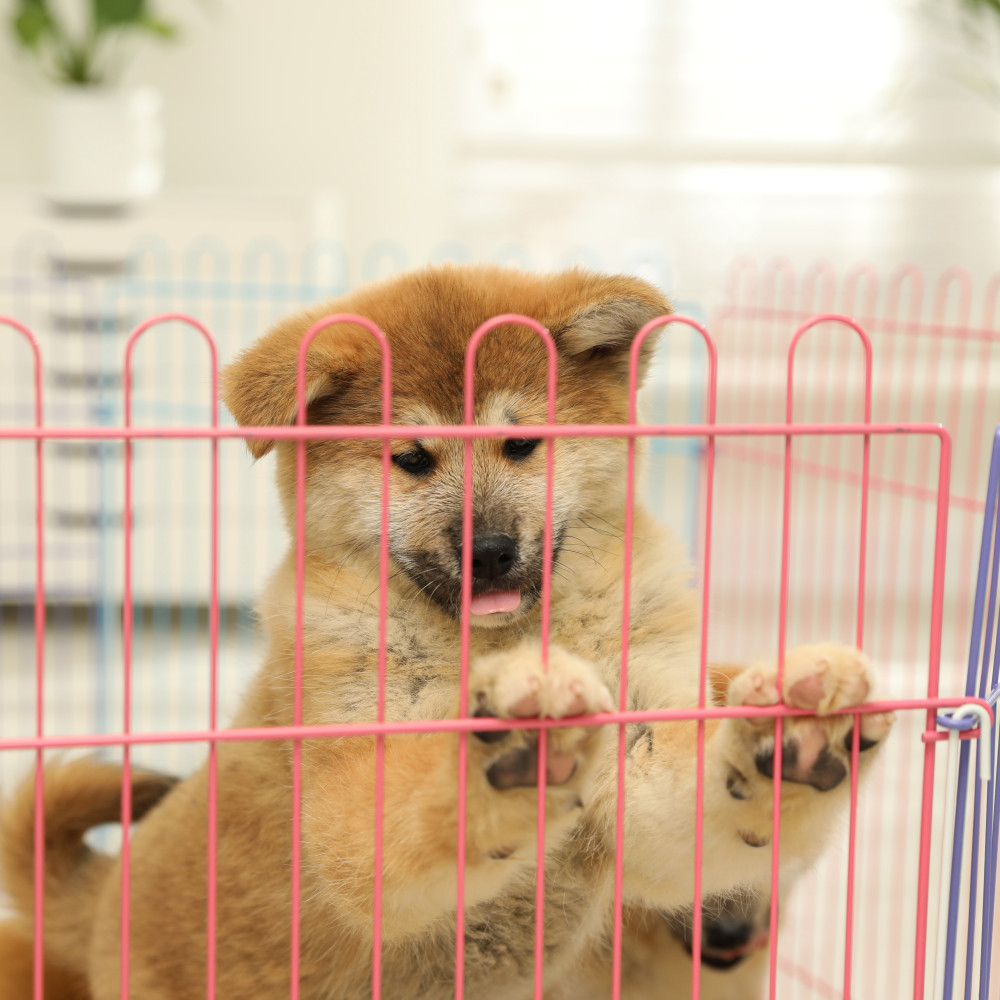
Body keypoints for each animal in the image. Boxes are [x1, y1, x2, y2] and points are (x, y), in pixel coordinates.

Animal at [0, 262, 892, 996]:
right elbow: (421, 793)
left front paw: (794, 726)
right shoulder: (357, 789)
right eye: (413, 459)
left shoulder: (645, 766)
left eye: (522, 443)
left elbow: (702, 784)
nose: (490, 549)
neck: (504, 637)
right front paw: (507, 740)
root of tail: (104, 900)